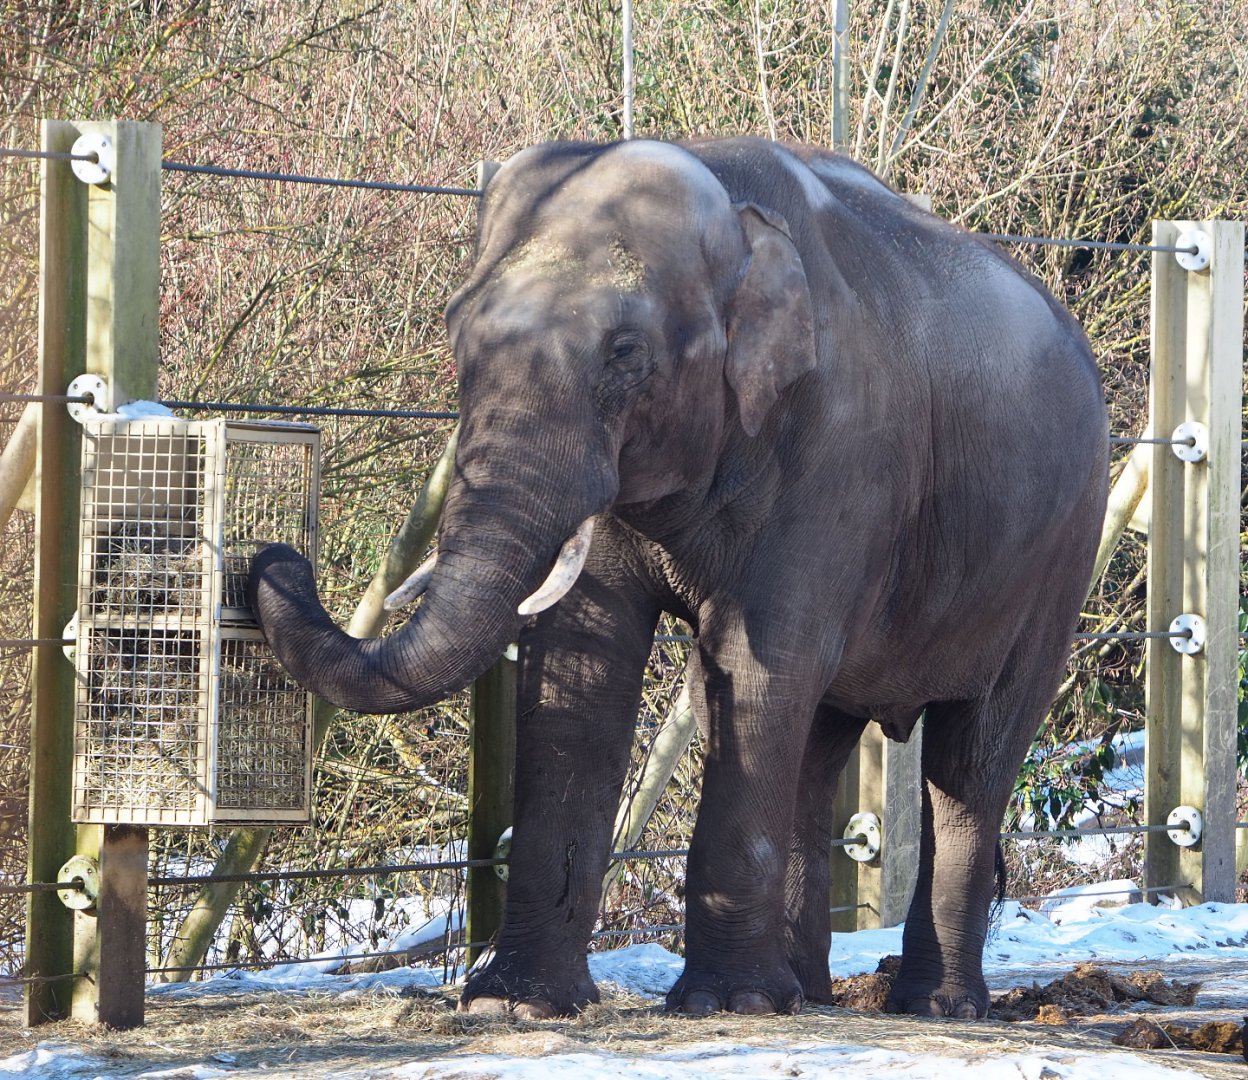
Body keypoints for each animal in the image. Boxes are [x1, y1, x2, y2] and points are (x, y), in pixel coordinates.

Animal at [248, 136, 1109, 1019]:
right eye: (457, 335)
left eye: (626, 354)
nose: (272, 554)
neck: (734, 210)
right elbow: (584, 665)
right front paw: (513, 1004)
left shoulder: (842, 454)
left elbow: (757, 666)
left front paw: (723, 1005)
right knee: (819, 740)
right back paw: (805, 994)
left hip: (1063, 551)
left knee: (971, 762)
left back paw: (929, 1004)